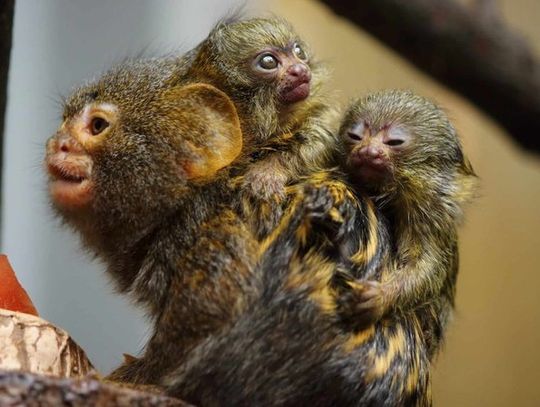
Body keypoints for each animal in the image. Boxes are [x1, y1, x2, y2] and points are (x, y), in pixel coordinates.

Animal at [338, 90, 476, 342]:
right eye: (356, 136)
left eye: (394, 142)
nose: (367, 151)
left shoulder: (430, 217)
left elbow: (428, 268)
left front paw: (382, 297)